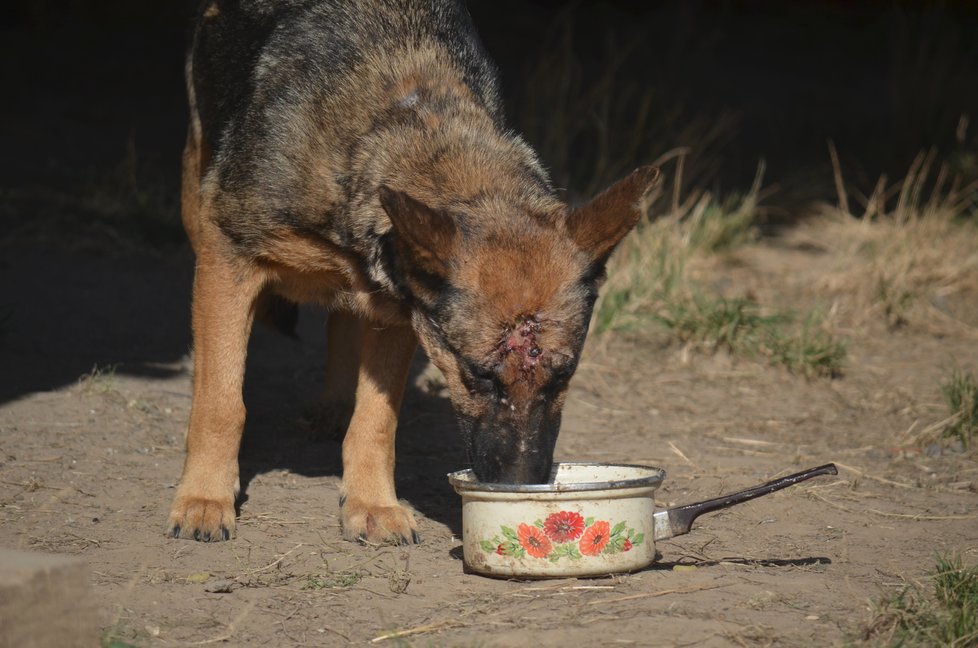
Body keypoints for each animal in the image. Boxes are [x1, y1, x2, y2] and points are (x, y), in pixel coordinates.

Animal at [170, 0, 656, 548]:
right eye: (477, 375)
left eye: (564, 376)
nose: (521, 485)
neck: (401, 119)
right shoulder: (228, 257)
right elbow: (222, 404)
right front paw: (204, 498)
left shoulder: (395, 314)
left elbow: (375, 423)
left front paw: (372, 504)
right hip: (195, 203)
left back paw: (334, 404)